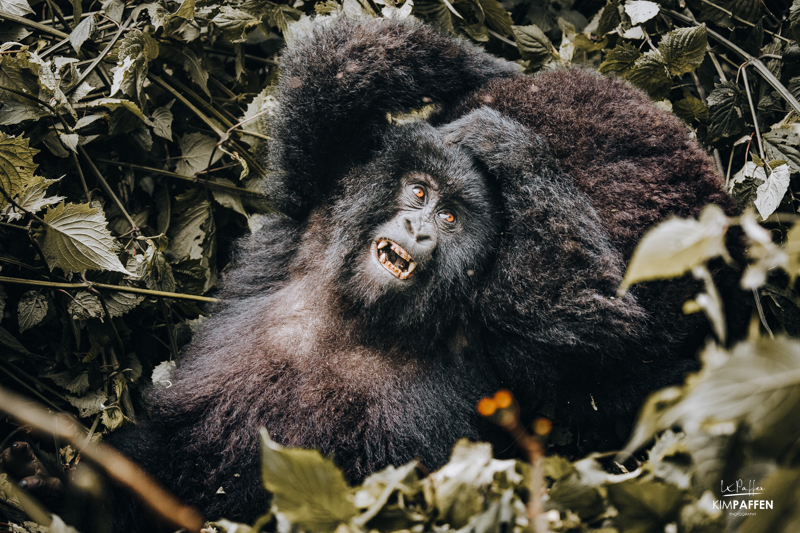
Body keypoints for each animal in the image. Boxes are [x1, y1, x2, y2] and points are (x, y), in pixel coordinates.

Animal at [4, 14, 736, 528]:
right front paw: (494, 68)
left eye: (451, 218)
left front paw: (507, 140)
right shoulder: (321, 201)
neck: (368, 313)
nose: (417, 230)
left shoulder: (519, 344)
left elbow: (605, 318)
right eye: (418, 192)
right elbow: (338, 69)